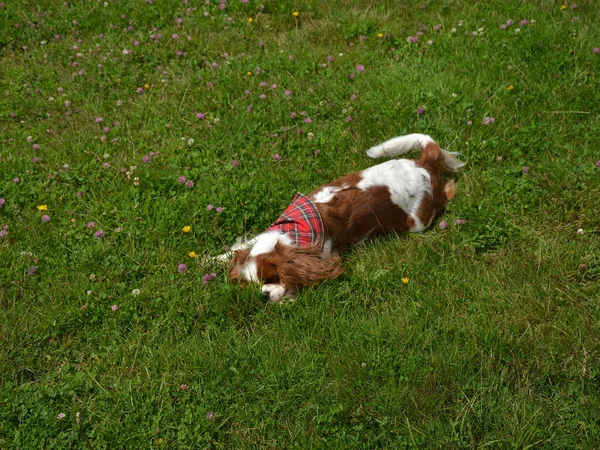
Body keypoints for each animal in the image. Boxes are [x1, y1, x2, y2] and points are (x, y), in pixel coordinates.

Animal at [224, 134, 464, 302]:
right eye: (253, 284)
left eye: (273, 279)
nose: (263, 295)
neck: (294, 229)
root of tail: (424, 164)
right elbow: (240, 246)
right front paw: (217, 258)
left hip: (420, 220)